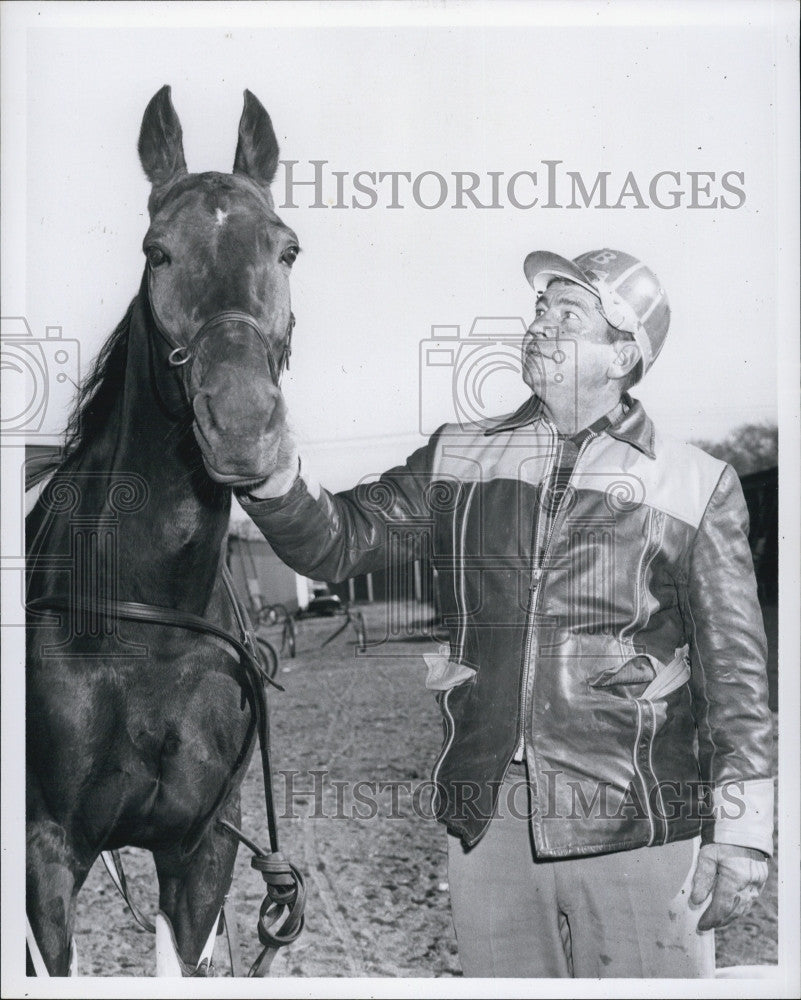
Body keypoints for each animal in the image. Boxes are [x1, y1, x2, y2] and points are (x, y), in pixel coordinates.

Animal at [23, 86, 304, 976]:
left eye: (287, 250)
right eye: (157, 253)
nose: (242, 427)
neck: (149, 633)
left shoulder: (199, 851)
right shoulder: (44, 856)